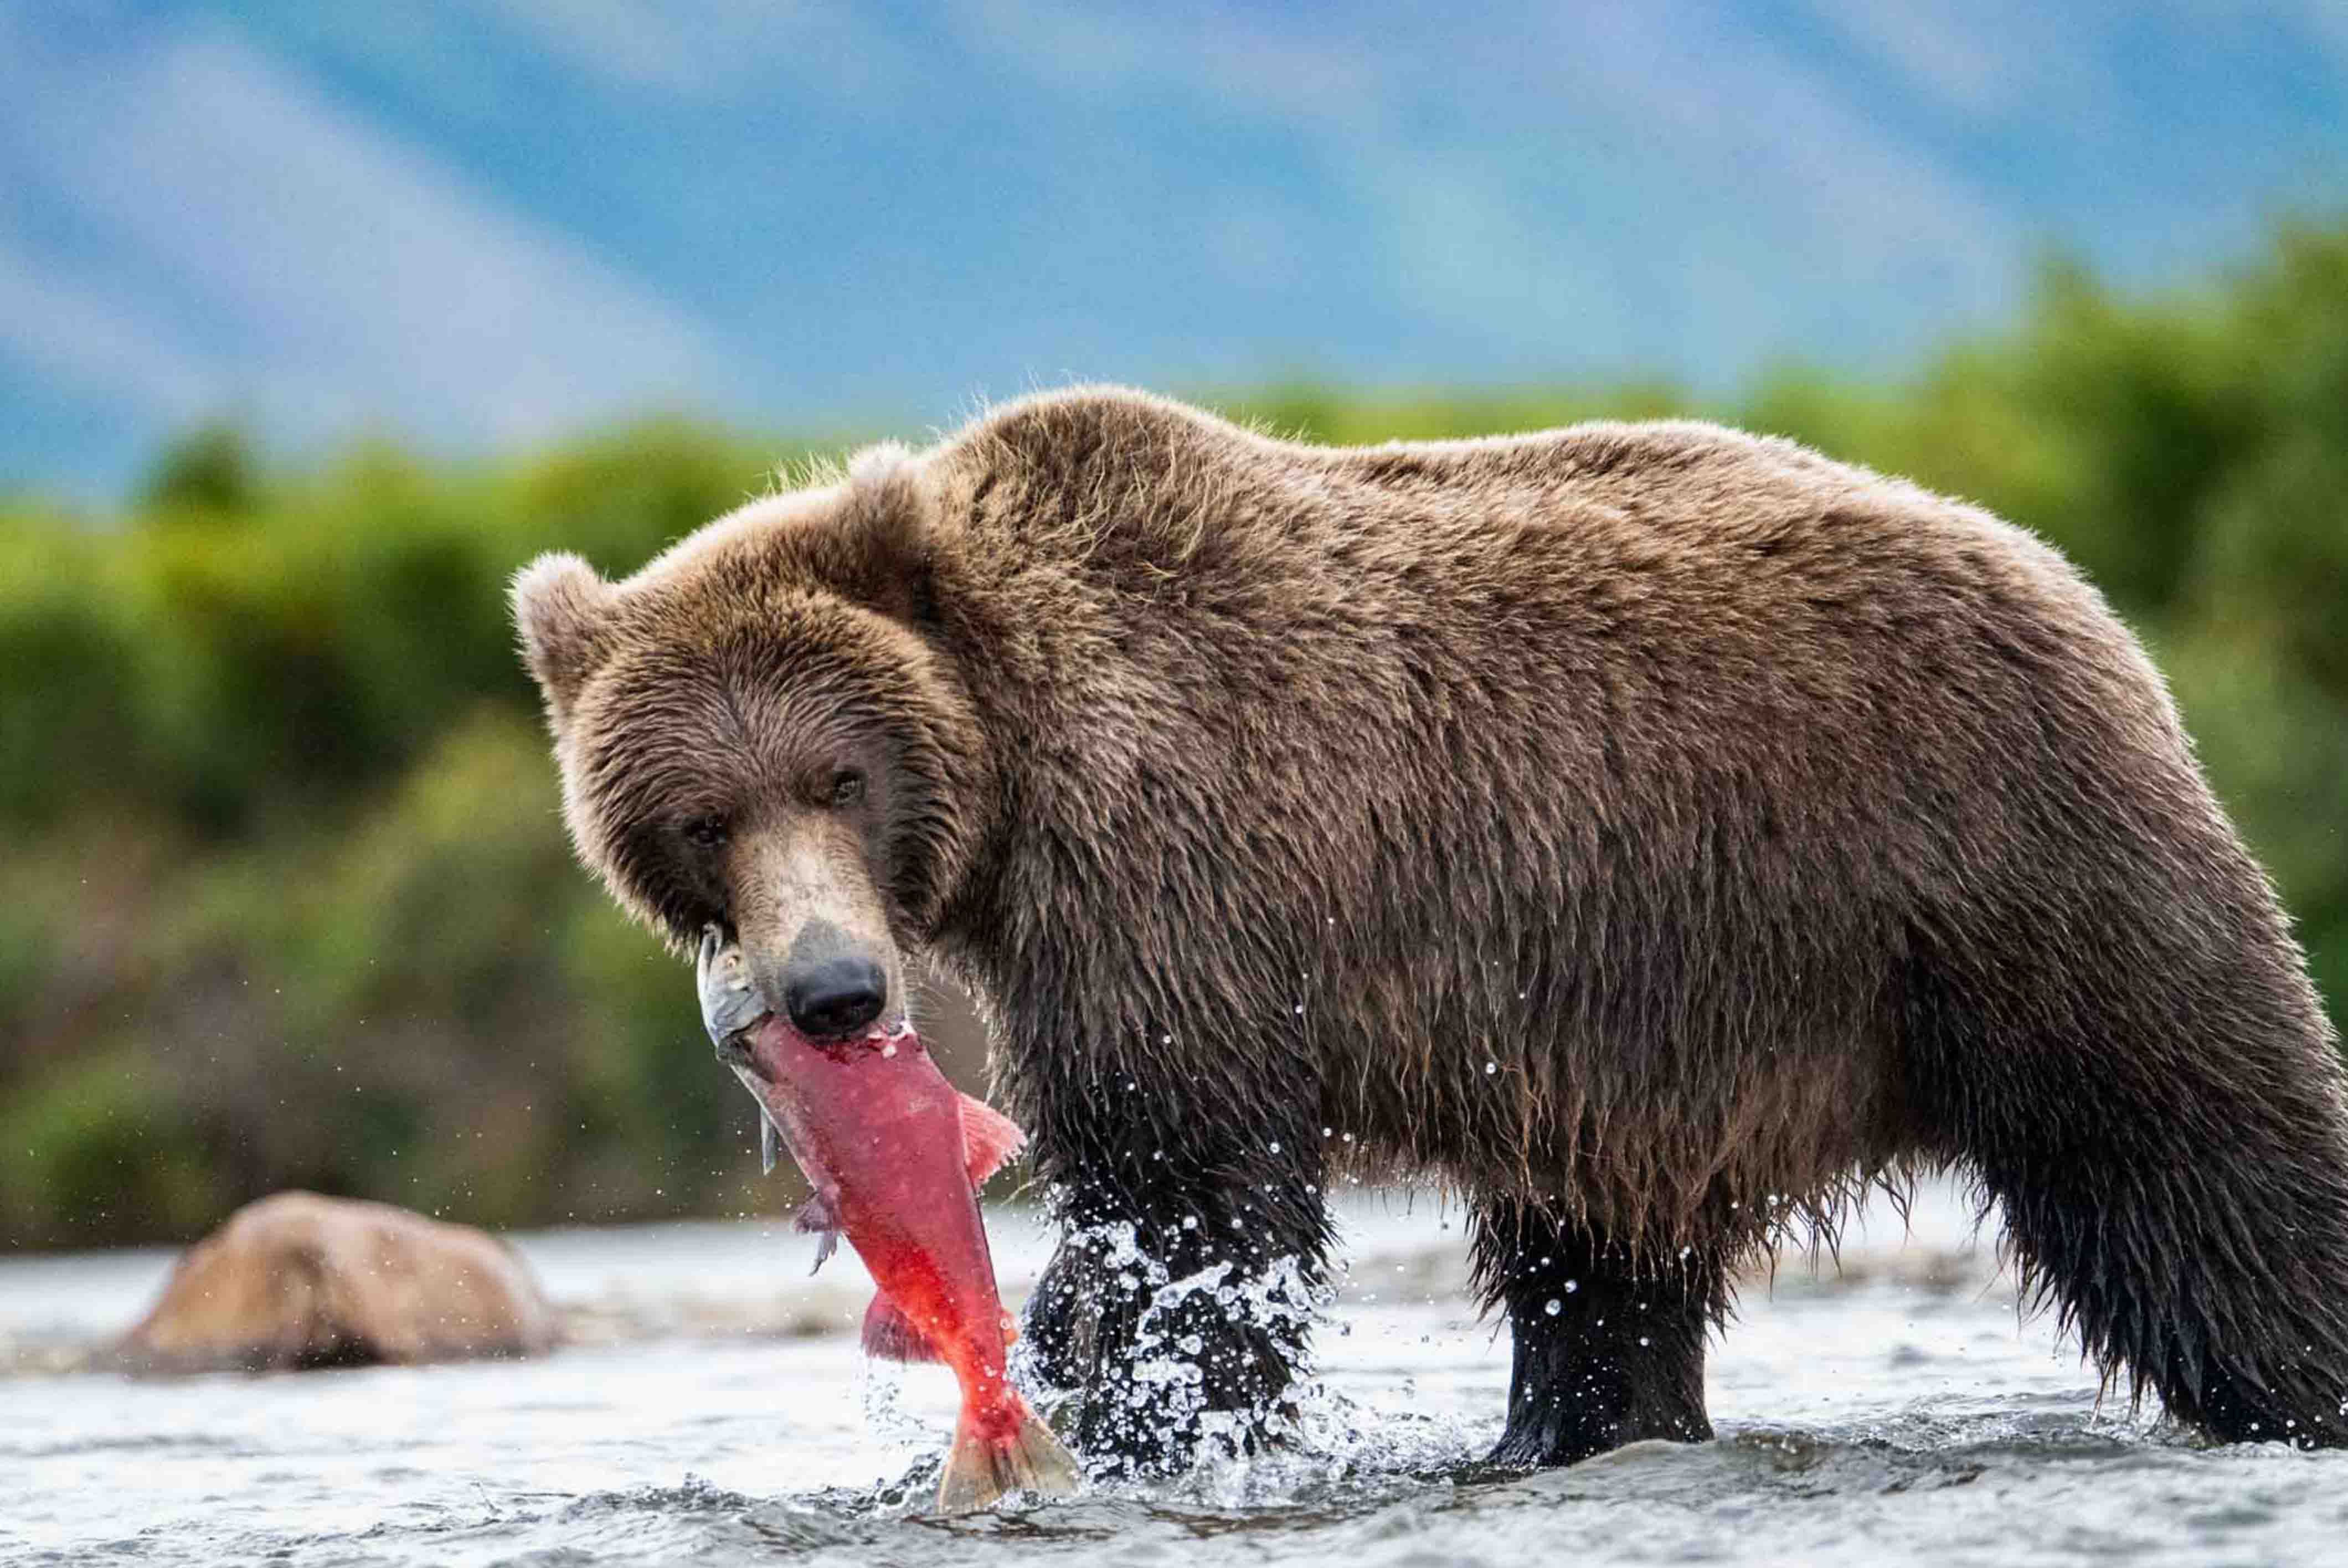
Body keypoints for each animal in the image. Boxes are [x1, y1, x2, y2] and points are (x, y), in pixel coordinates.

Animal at [513, 385, 2348, 1471]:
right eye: (699, 815)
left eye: (838, 771)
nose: (830, 988)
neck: (1021, 777)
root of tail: (2074, 583)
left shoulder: (1180, 870)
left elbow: (1181, 1187)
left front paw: (1136, 1411)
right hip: (1650, 1025)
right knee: (1598, 1268)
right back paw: (1565, 1436)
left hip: (1996, 876)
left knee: (2198, 1169)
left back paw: (2293, 1379)